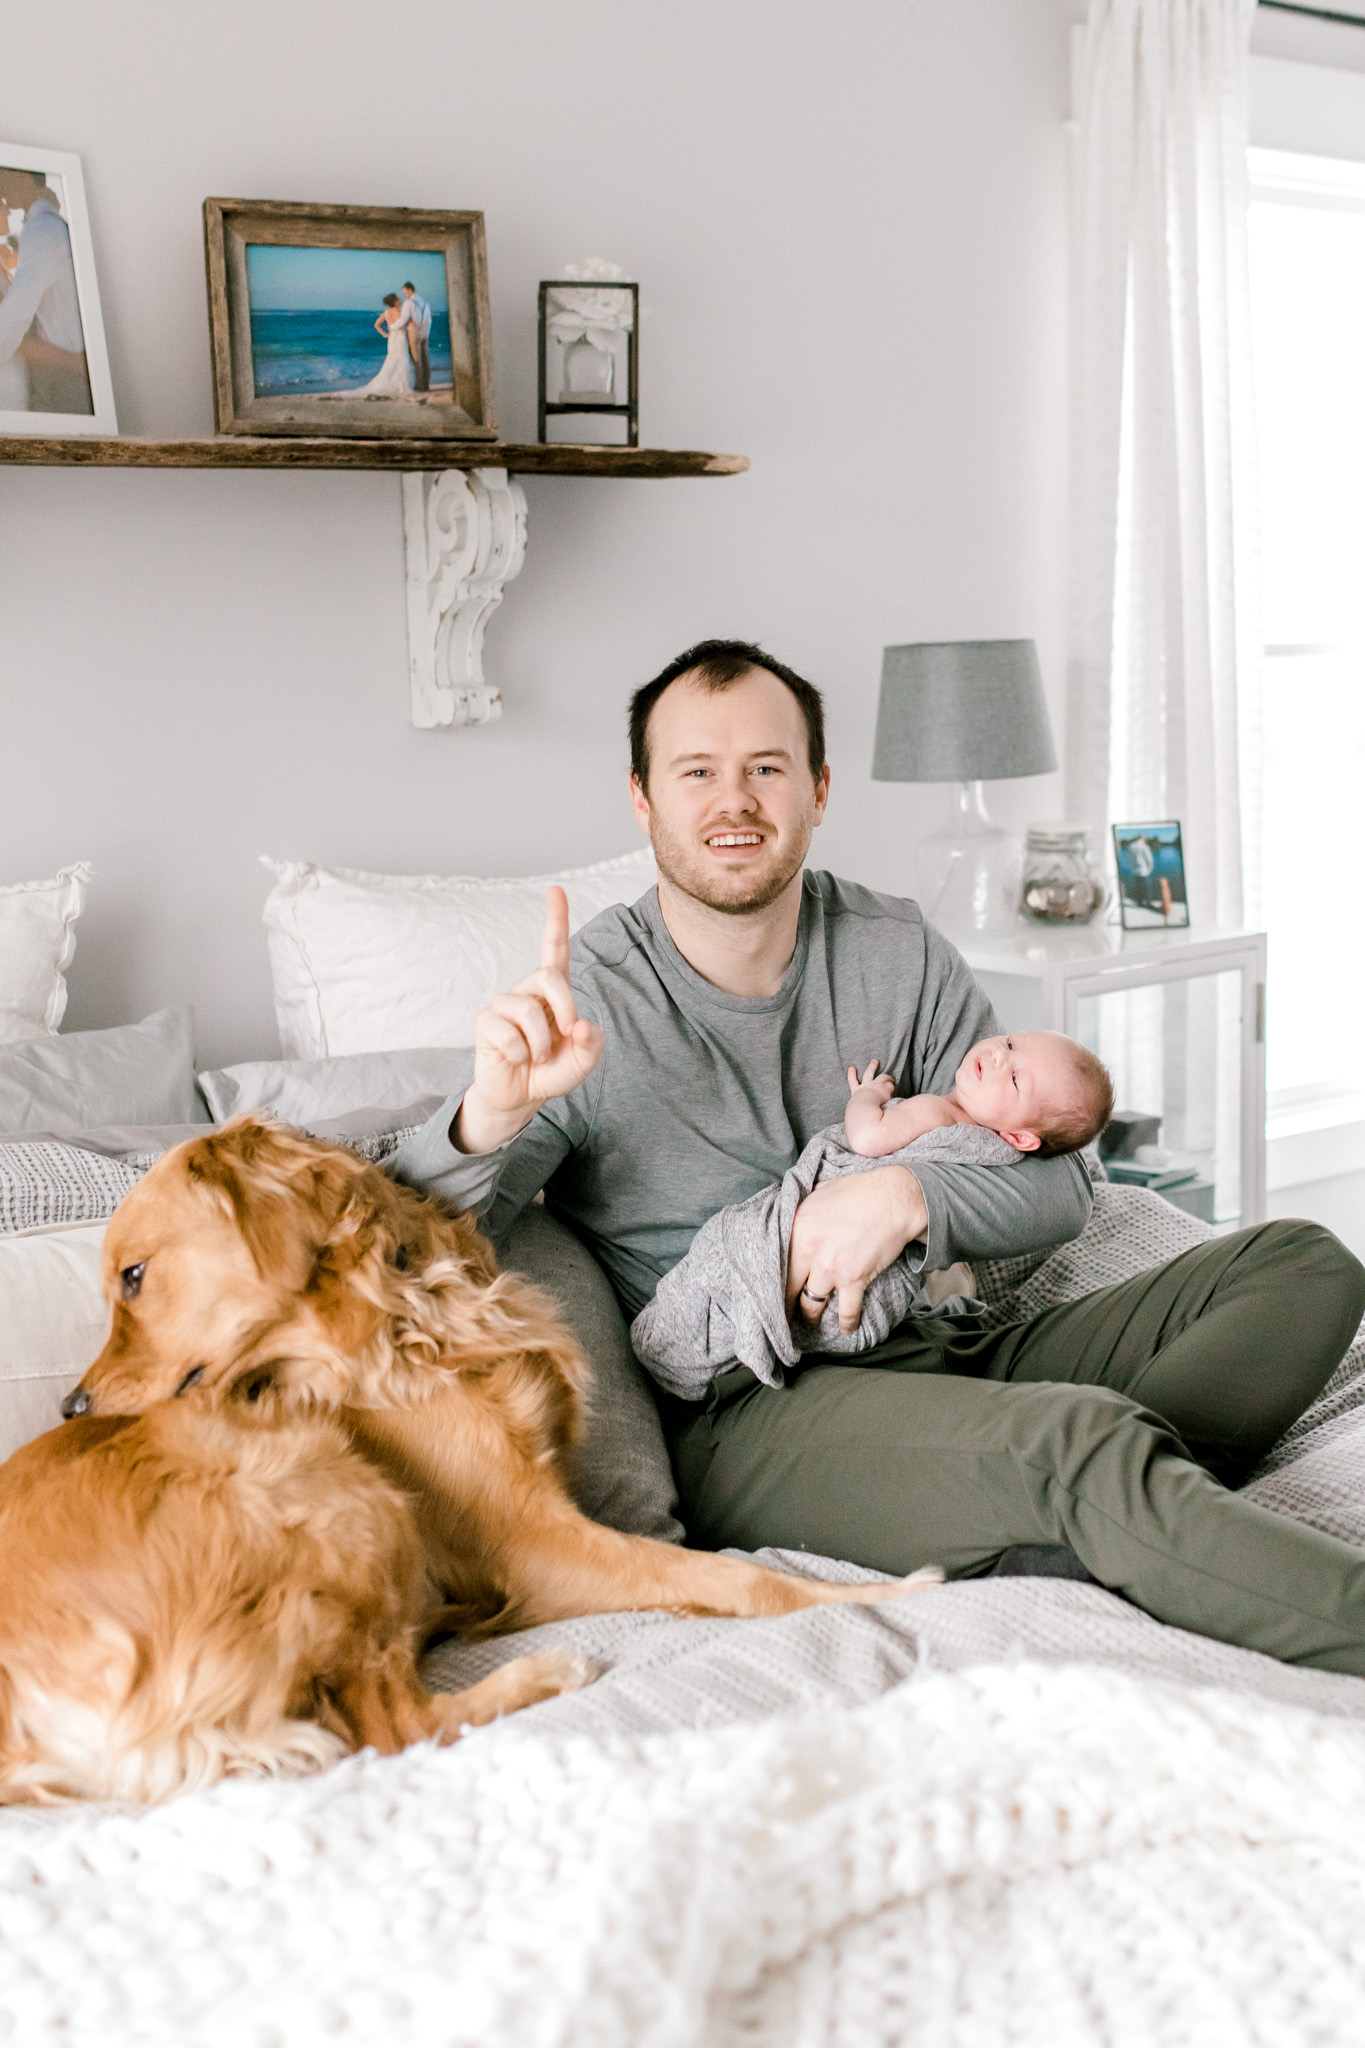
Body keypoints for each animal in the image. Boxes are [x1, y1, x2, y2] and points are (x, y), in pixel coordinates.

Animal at [63, 1114, 941, 1638]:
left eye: (133, 1277)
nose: (71, 1405)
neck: (406, 1316)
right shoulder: (531, 1544)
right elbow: (740, 1579)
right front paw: (879, 1596)